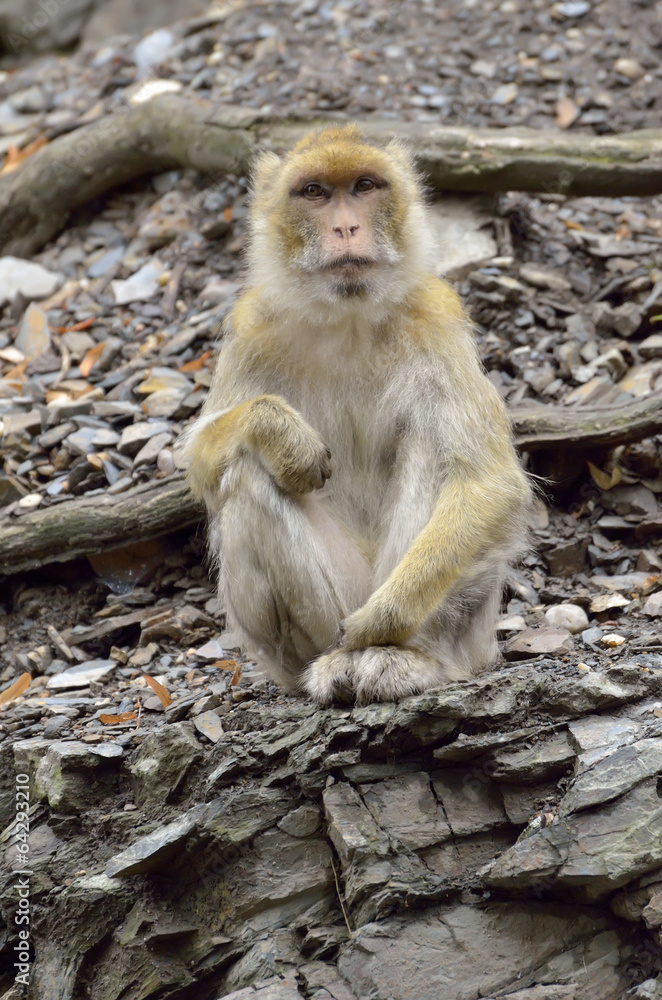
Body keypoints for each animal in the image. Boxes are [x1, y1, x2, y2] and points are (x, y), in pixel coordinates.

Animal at [183, 124, 532, 704]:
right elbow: (199, 459)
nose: (347, 226)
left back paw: (402, 656)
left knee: (432, 446)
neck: (347, 315)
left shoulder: (437, 317)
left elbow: (489, 483)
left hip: (466, 635)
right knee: (248, 472)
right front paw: (276, 431)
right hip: (316, 624)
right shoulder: (253, 326)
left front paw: (383, 621)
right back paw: (326, 667)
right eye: (315, 192)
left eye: (365, 186)